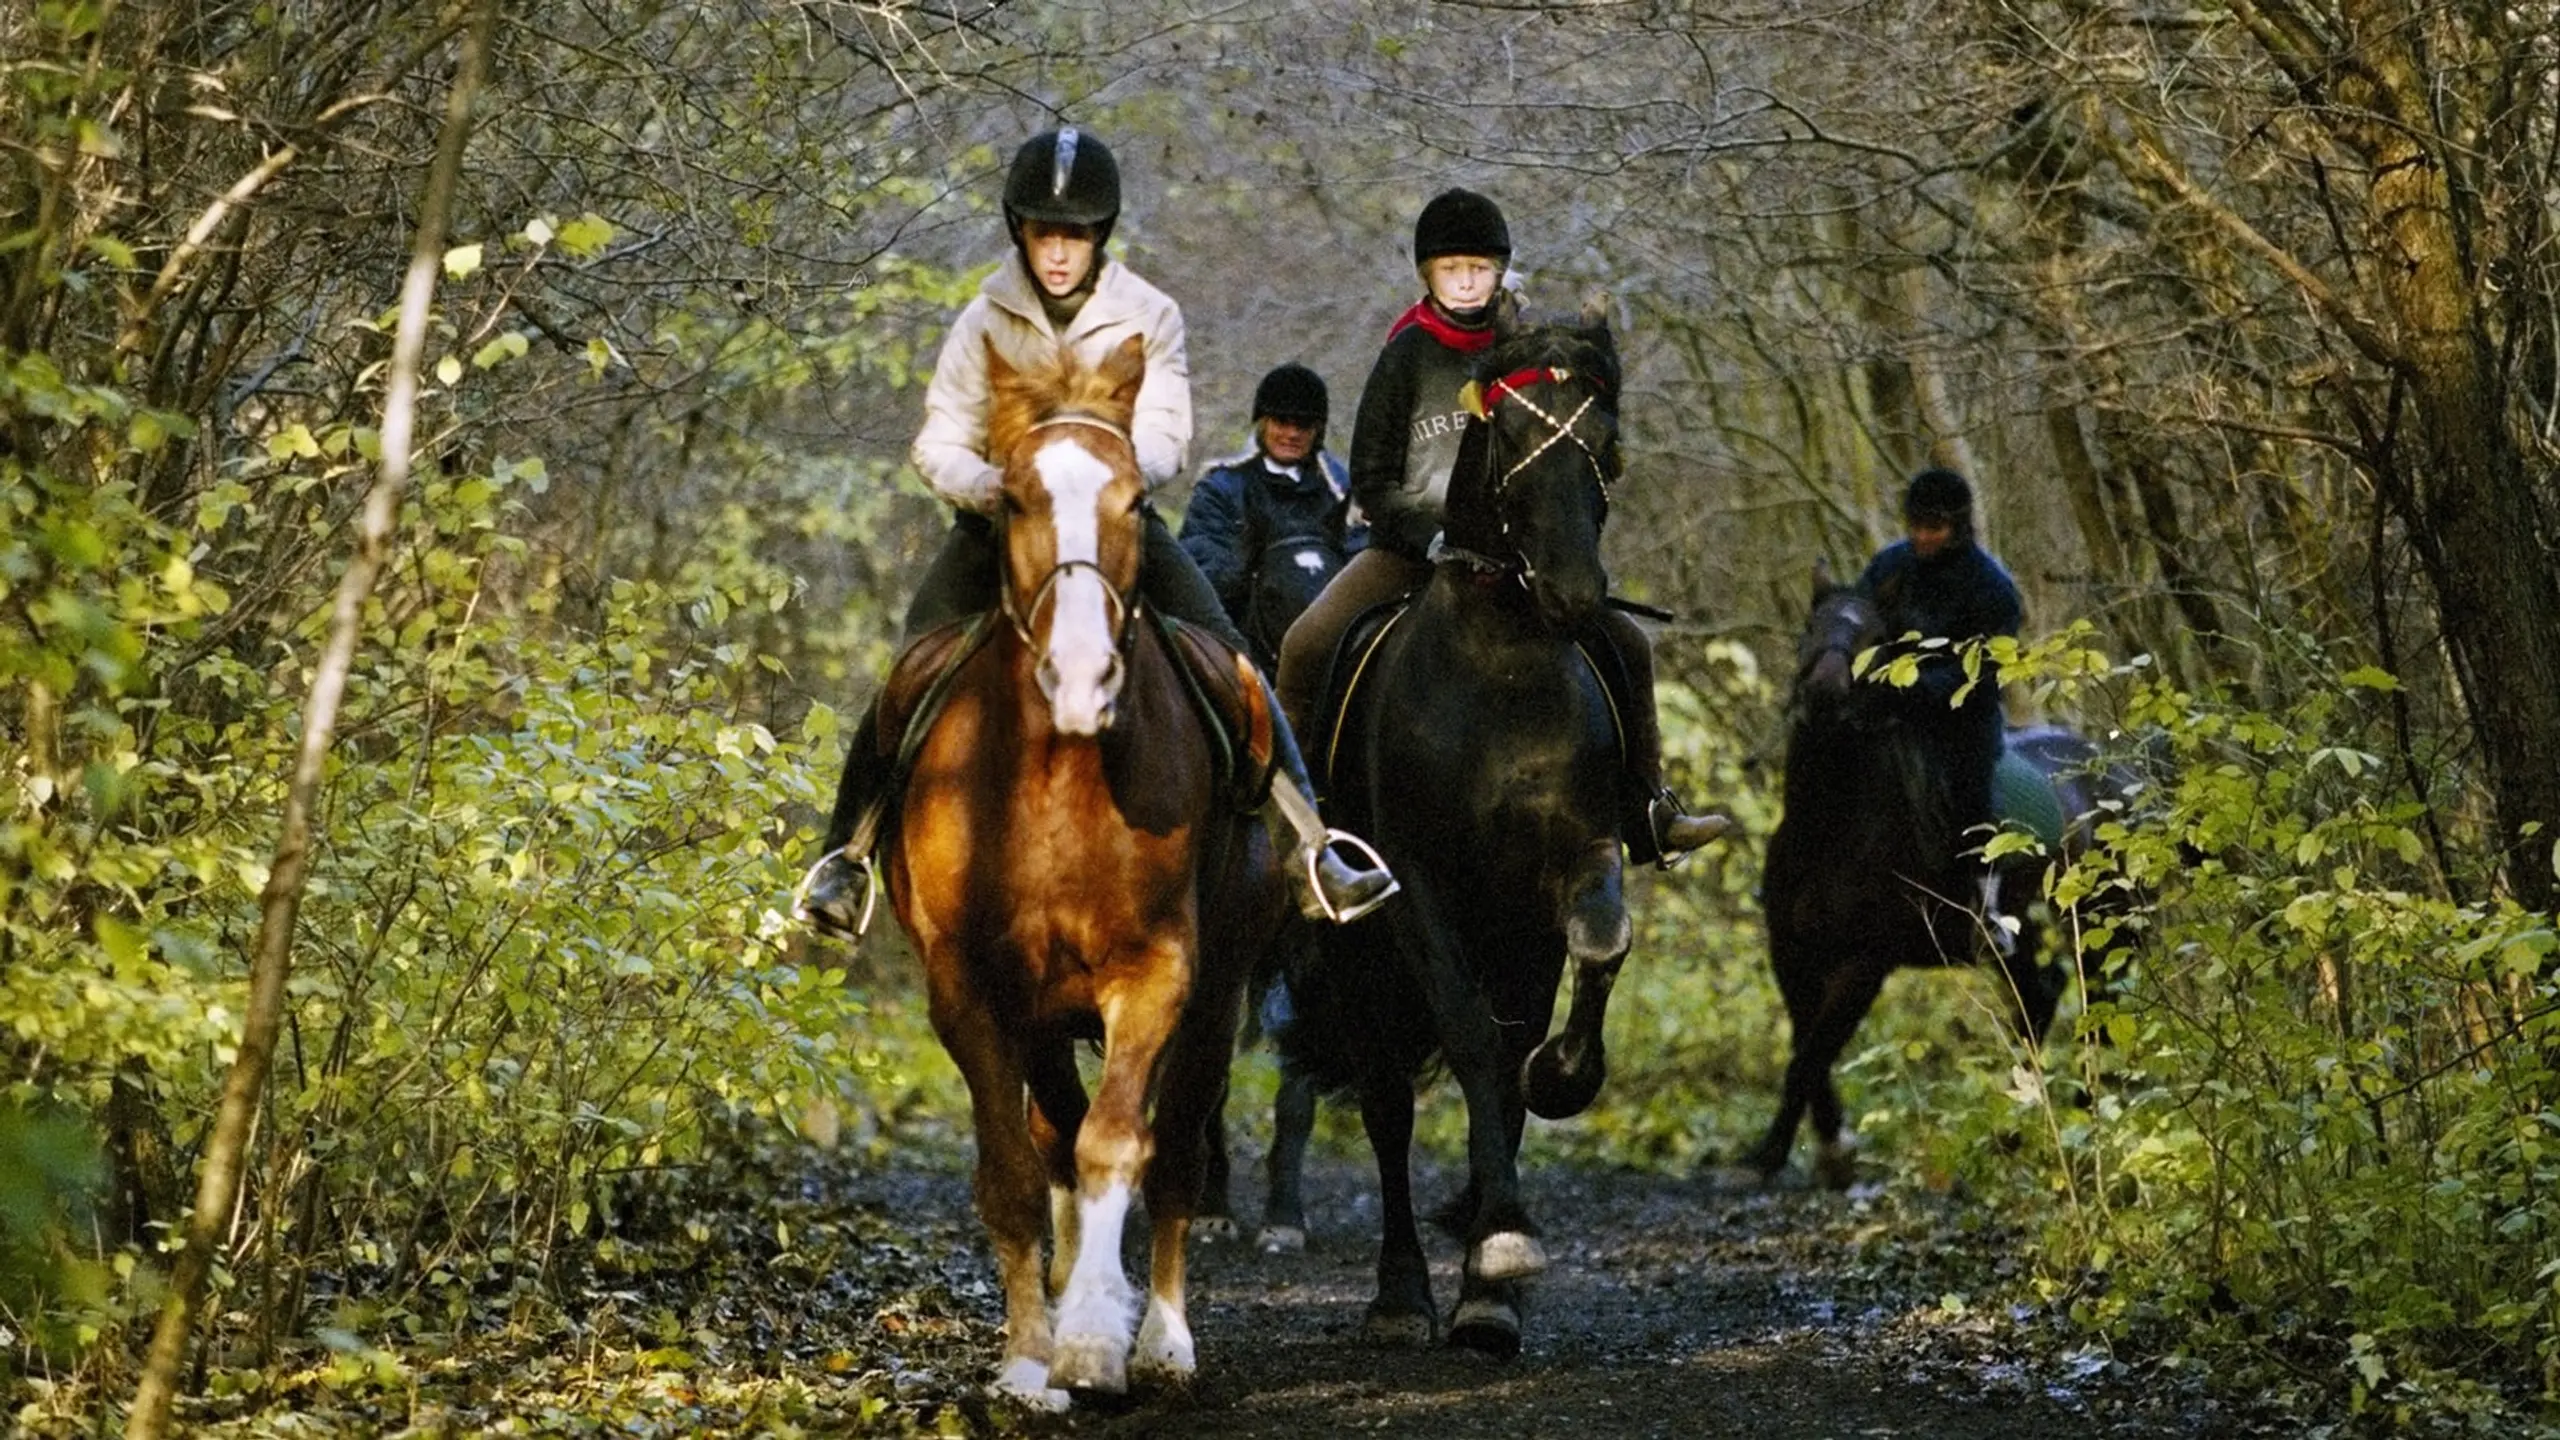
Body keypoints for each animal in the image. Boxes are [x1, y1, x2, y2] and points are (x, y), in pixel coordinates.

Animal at [890, 330, 1290, 1393]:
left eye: (1138, 502)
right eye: (1015, 501)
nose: (1082, 678)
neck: (1055, 773)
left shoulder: (1159, 973)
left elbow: (1118, 1145)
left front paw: (1094, 1340)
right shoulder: (974, 987)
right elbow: (1018, 1171)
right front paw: (1031, 1361)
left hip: (1219, 995)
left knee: (1175, 1145)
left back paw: (1162, 1338)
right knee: (1054, 1138)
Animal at [1290, 304, 1628, 1352]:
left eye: (1603, 438)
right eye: (1511, 434)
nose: (1573, 594)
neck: (1501, 666)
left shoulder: (1576, 863)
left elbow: (1593, 955)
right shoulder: (1416, 884)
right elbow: (1471, 1040)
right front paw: (1501, 1244)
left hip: (1514, 937)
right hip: (1359, 962)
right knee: (1389, 1101)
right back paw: (1403, 1295)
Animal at [1751, 566, 2129, 1183]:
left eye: (1876, 638)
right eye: (1811, 627)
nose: (1825, 695)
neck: (1829, 828)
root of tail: (2120, 770)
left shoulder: (1865, 963)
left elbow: (1811, 1053)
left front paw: (1778, 1153)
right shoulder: (1790, 951)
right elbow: (1808, 1049)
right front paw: (1828, 1147)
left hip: (2107, 929)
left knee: (2099, 1009)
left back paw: (2086, 1120)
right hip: (2024, 943)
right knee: (2038, 1000)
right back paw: (2018, 1124)